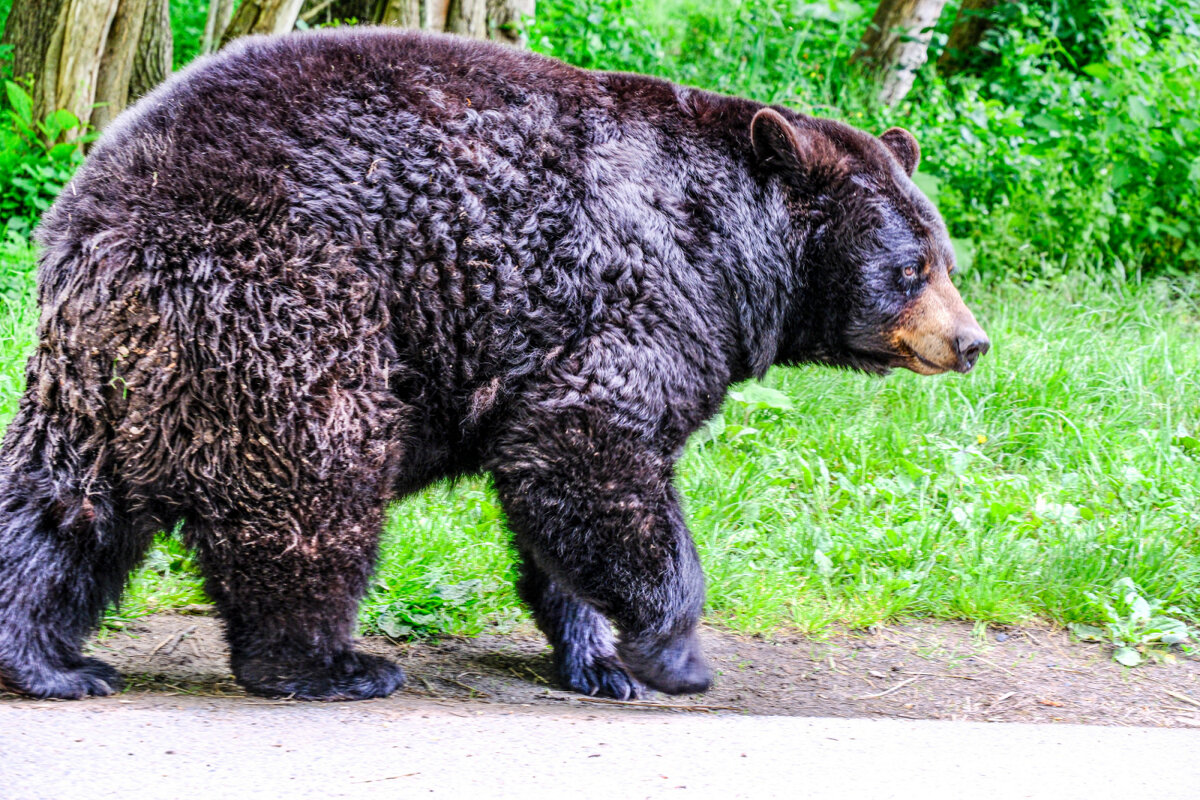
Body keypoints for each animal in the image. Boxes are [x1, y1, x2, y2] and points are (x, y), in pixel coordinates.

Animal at [0, 26, 984, 700]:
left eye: (943, 256)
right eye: (909, 269)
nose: (971, 342)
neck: (728, 253)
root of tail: (94, 215)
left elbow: (556, 500)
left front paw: (601, 660)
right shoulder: (635, 304)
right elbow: (592, 453)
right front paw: (674, 655)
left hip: (106, 372)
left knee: (61, 504)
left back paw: (48, 661)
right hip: (278, 304)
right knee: (314, 481)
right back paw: (330, 665)